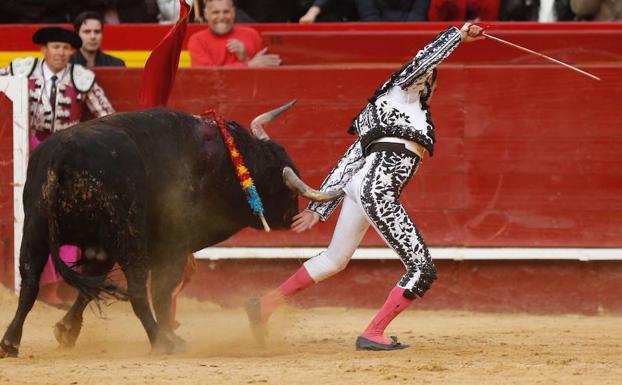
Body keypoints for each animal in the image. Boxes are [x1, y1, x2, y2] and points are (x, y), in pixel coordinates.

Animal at [0, 103, 342, 356]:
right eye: (281, 187)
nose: (293, 216)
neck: (229, 163)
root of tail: (63, 155)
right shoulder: (173, 246)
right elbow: (162, 293)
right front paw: (168, 334)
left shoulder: (103, 248)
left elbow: (91, 286)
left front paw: (66, 331)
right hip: (129, 236)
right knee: (139, 290)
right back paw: (162, 341)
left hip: (35, 229)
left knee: (29, 283)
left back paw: (10, 342)